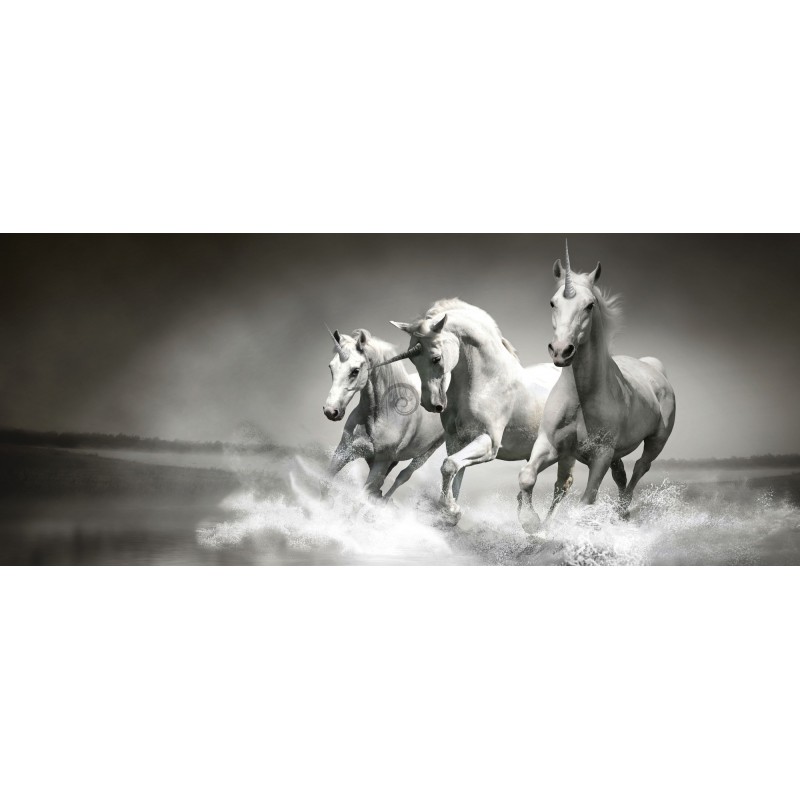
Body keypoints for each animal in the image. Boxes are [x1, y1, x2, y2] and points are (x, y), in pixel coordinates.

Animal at [321, 327, 445, 500]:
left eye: (355, 371)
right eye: (331, 367)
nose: (331, 411)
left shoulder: (381, 462)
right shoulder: (344, 451)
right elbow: (325, 485)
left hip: (427, 452)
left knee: (403, 476)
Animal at [389, 299, 564, 525]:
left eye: (436, 358)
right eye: (412, 360)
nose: (430, 404)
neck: (488, 381)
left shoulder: (488, 443)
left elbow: (449, 466)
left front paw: (451, 509)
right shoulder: (457, 441)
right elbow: (455, 472)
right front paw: (451, 512)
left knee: (563, 486)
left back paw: (542, 526)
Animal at [517, 242, 677, 534]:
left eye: (589, 305)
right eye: (553, 302)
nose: (561, 351)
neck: (581, 397)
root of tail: (654, 369)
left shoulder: (600, 455)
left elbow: (586, 500)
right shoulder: (551, 444)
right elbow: (528, 476)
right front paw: (532, 523)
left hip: (655, 441)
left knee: (640, 468)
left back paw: (622, 512)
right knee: (618, 475)